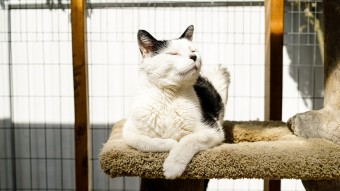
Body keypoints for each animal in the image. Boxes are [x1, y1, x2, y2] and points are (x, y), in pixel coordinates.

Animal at [121, 25, 230, 179]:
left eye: (192, 50)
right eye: (173, 54)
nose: (194, 56)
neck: (169, 96)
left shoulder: (213, 130)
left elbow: (188, 140)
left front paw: (172, 165)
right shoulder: (128, 131)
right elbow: (143, 142)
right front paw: (170, 143)